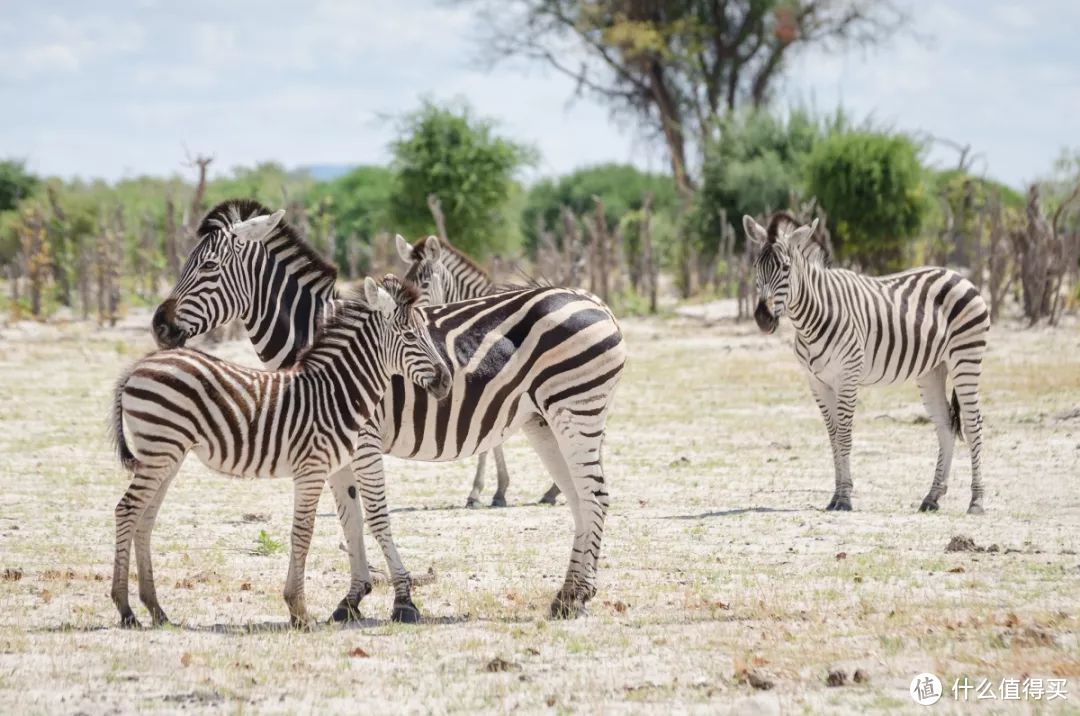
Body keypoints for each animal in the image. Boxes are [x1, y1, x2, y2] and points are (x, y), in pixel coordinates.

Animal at [108, 265, 447, 630]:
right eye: (411, 337)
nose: (445, 381)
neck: (336, 391)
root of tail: (138, 366)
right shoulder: (312, 467)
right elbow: (303, 532)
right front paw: (299, 611)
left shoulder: (323, 467)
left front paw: (298, 609)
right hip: (160, 449)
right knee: (127, 509)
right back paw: (125, 610)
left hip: (166, 454)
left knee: (144, 518)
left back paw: (156, 610)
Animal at [747, 212, 989, 516]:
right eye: (756, 266)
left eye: (786, 268)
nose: (763, 318)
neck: (813, 317)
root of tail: (957, 275)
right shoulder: (817, 382)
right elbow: (833, 436)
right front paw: (835, 496)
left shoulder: (848, 376)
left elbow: (845, 435)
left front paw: (844, 499)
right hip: (932, 370)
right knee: (946, 424)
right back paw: (932, 497)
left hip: (966, 358)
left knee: (972, 423)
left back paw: (977, 501)